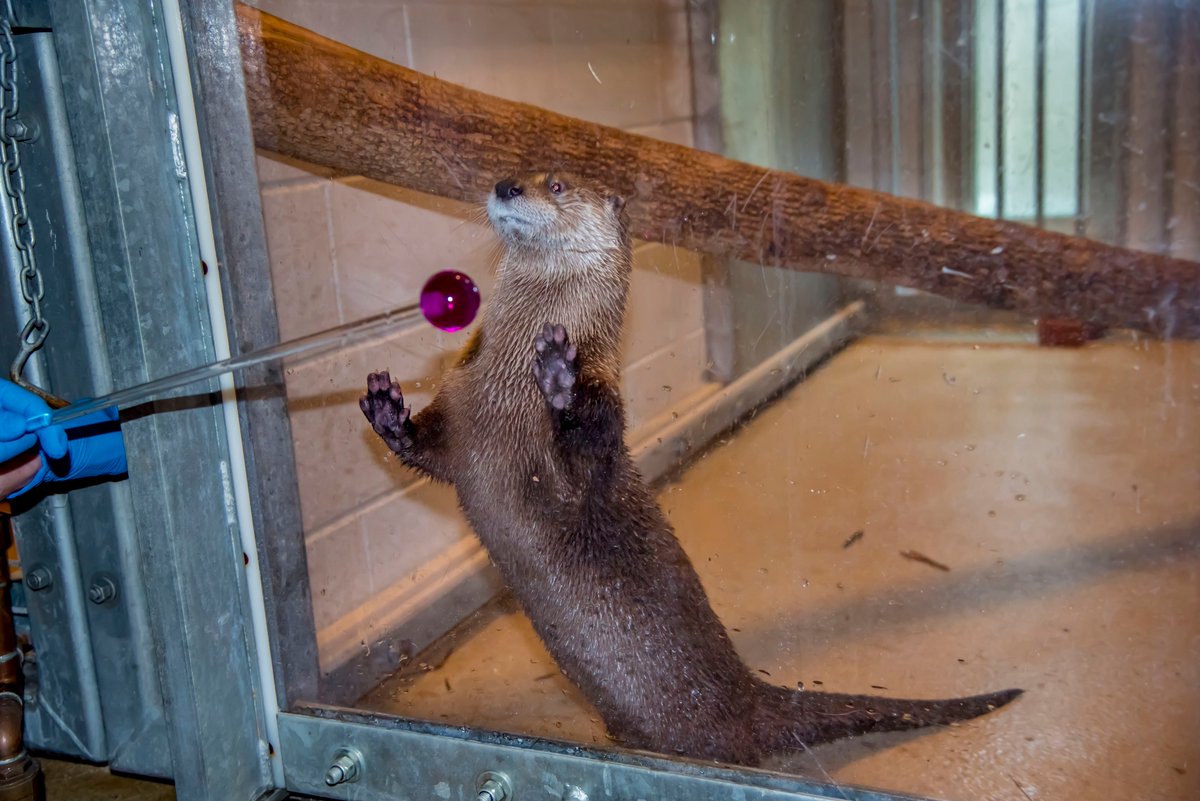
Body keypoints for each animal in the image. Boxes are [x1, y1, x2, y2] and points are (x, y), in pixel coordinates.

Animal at [360, 172, 1020, 766]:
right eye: (518, 170)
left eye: (556, 184)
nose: (506, 186)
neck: (503, 397)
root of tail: (753, 696)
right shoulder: (460, 414)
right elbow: (426, 453)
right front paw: (387, 408)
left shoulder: (584, 440)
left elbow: (590, 453)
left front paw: (562, 379)